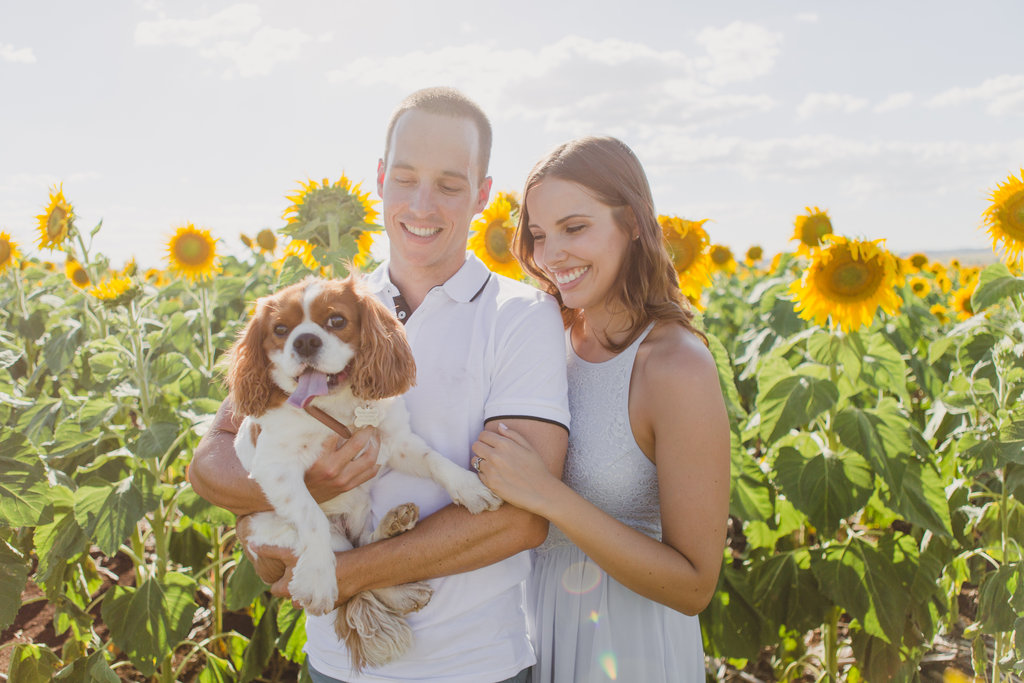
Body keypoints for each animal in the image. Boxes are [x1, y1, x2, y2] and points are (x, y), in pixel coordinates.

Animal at [226, 272, 501, 667]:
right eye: (279, 329)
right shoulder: (275, 467)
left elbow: (435, 460)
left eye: (336, 320)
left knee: (369, 550)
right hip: (285, 536)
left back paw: (394, 528)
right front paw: (318, 581)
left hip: (357, 516)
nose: (304, 341)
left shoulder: (396, 441)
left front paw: (469, 486)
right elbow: (310, 515)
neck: (335, 408)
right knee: (350, 566)